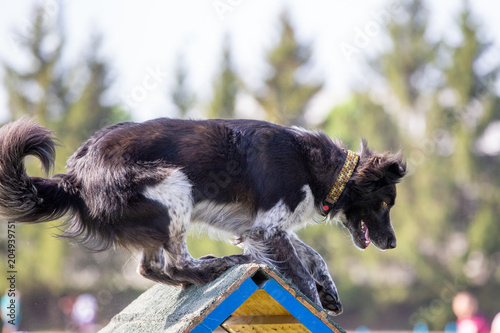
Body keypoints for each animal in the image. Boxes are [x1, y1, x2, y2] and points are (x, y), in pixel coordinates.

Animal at [0, 117, 406, 314]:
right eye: (385, 204)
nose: (393, 244)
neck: (319, 169)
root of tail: (75, 175)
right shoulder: (265, 230)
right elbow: (302, 275)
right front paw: (317, 303)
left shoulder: (260, 229)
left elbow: (315, 257)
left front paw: (330, 293)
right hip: (176, 185)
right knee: (174, 262)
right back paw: (218, 266)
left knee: (151, 268)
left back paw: (206, 271)